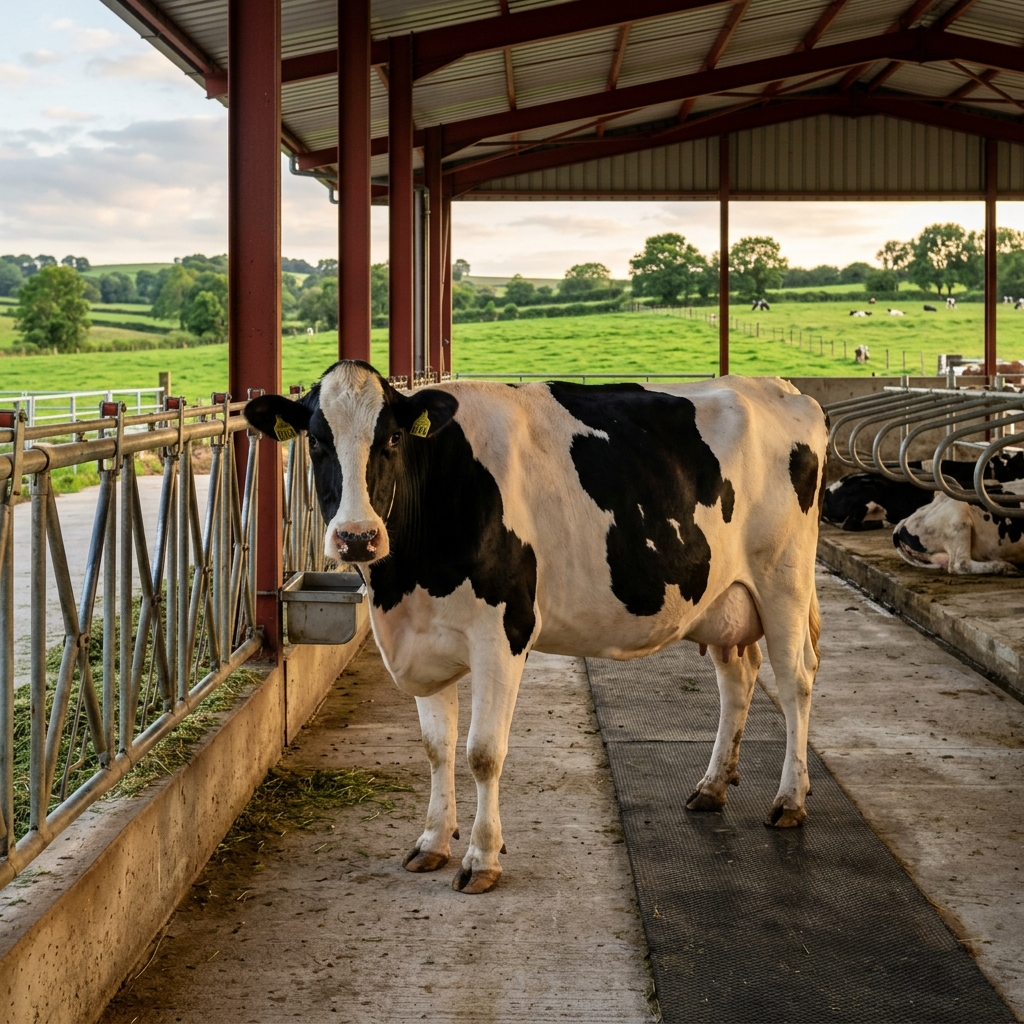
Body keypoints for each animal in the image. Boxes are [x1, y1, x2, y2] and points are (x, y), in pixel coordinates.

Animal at [245, 363, 828, 893]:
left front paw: (481, 858)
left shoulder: (504, 632)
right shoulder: (422, 639)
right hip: (723, 596)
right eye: (316, 441)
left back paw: (789, 800)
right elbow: (437, 748)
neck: (407, 580)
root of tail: (783, 388)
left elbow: (482, 752)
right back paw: (712, 786)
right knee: (739, 676)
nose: (357, 538)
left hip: (784, 582)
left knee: (795, 681)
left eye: (390, 438)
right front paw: (432, 843)